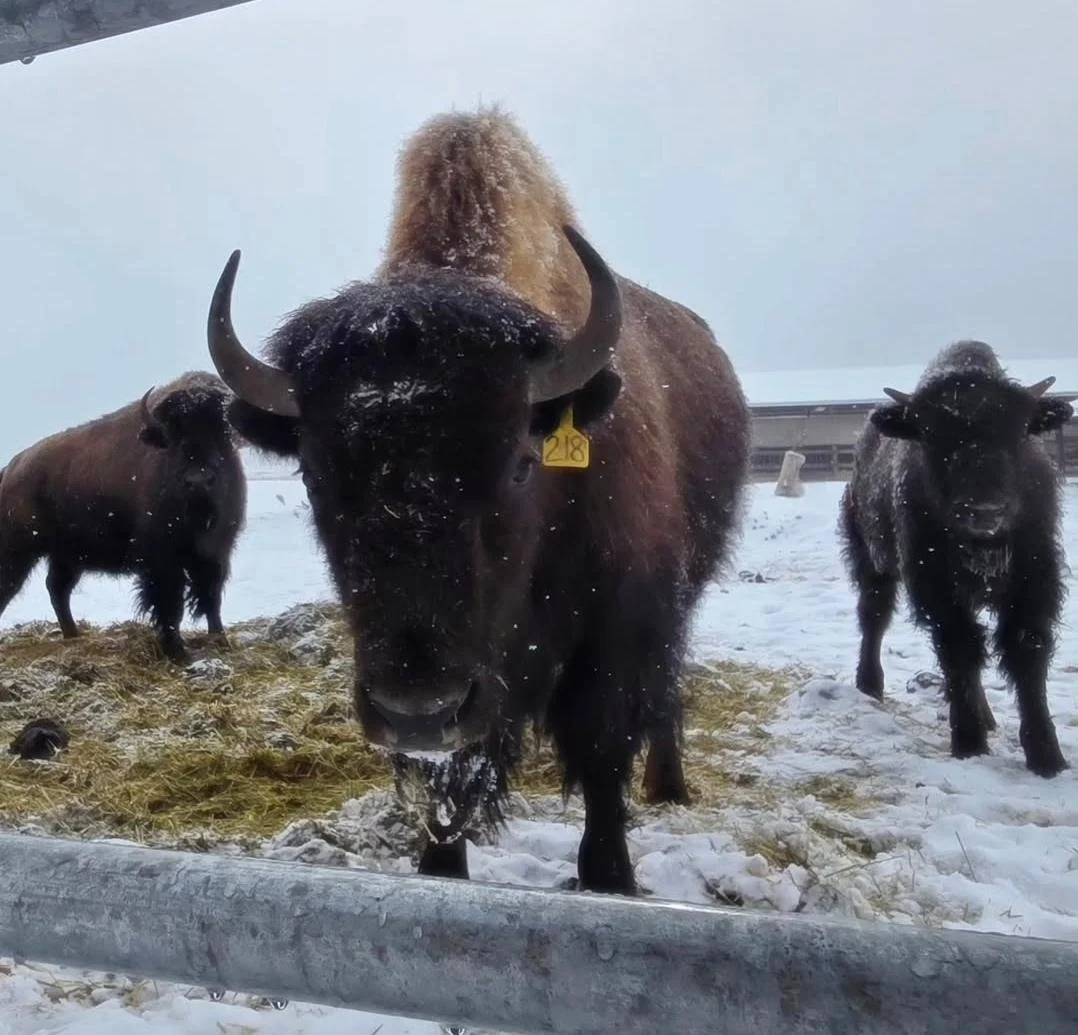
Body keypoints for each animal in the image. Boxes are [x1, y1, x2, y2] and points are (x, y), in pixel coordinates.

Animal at [0, 372, 246, 662]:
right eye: (173, 436)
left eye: (223, 433)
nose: (198, 481)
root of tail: (10, 470)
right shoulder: (162, 560)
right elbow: (170, 605)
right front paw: (177, 652)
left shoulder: (216, 552)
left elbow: (211, 598)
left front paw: (221, 641)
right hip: (19, 553)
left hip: (68, 556)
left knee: (58, 588)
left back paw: (73, 635)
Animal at [208, 108, 750, 894]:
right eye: (312, 475)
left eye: (521, 463)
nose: (415, 710)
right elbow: (449, 785)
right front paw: (441, 864)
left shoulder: (618, 634)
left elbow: (603, 754)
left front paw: (610, 875)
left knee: (667, 692)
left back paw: (669, 785)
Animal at [839, 341, 1072, 776]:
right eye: (933, 437)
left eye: (1018, 432)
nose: (984, 511)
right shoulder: (937, 589)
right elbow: (959, 650)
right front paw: (968, 742)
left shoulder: (1034, 581)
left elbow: (1025, 652)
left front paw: (1047, 758)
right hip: (873, 561)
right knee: (874, 615)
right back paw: (870, 684)